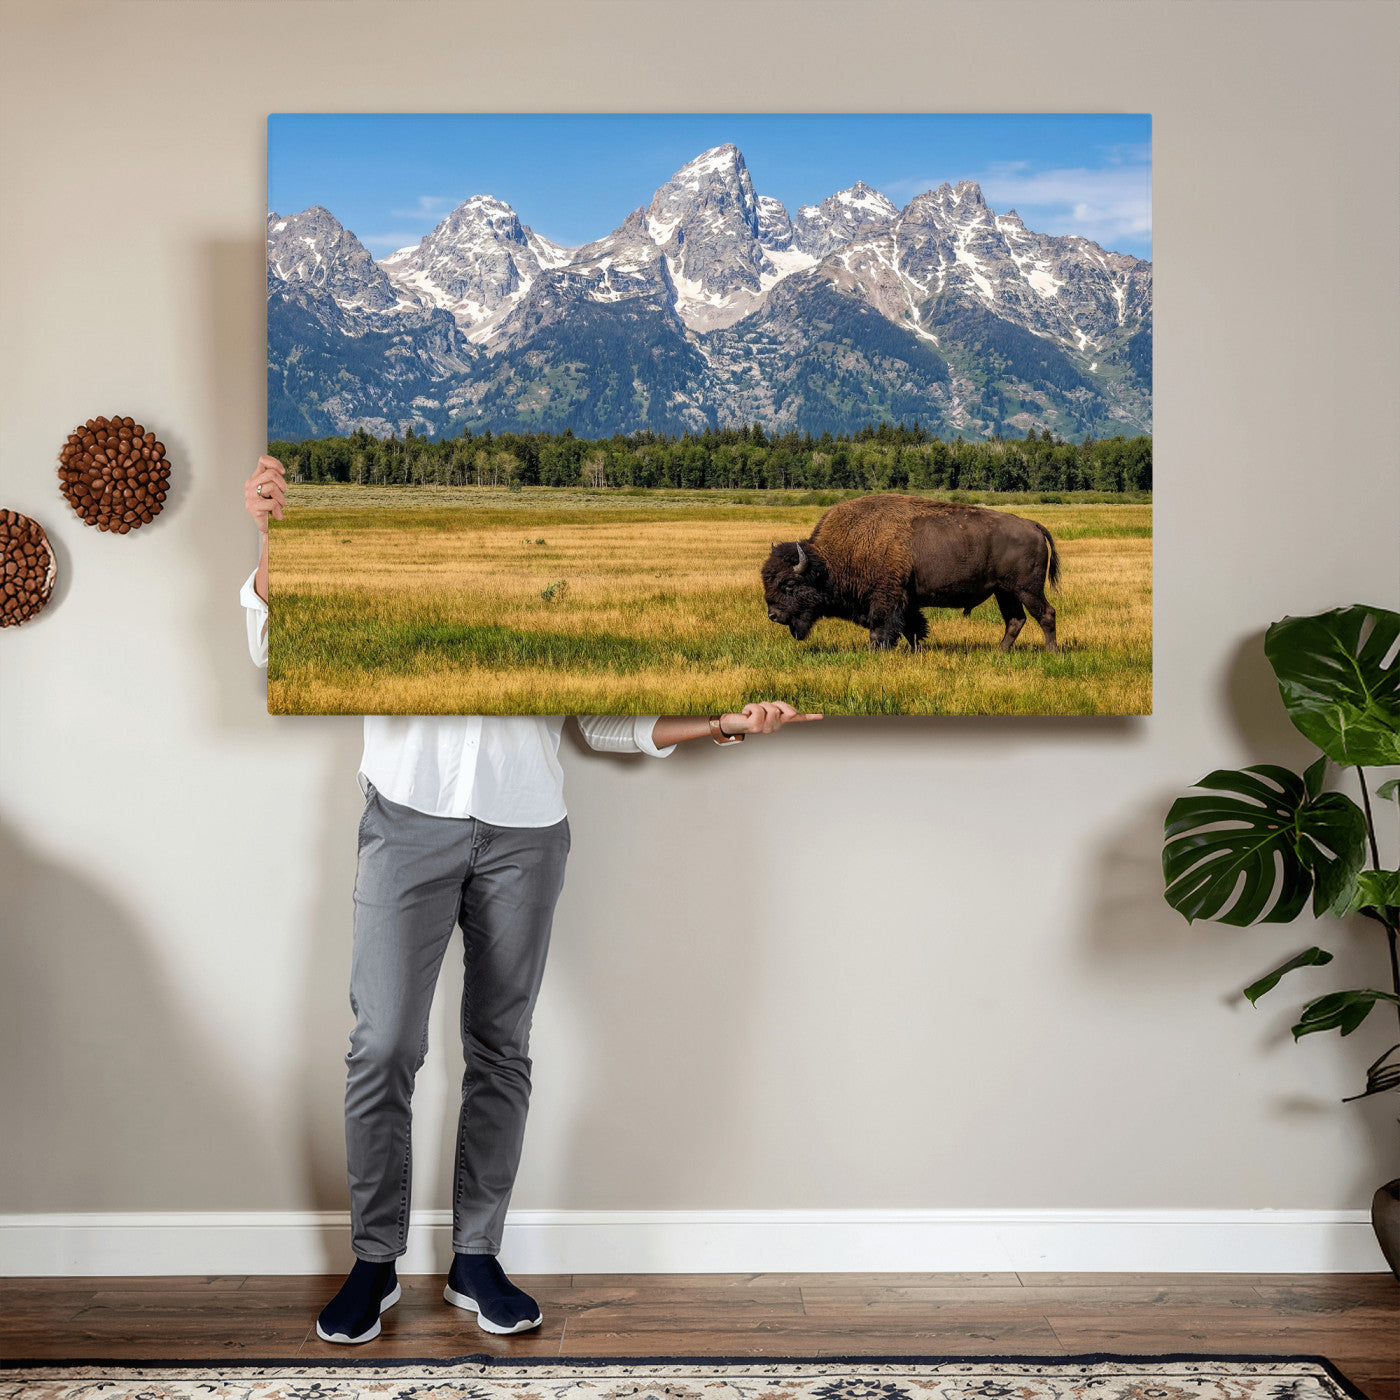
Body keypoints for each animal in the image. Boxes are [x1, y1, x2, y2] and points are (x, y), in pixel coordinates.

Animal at [761, 493, 1060, 652]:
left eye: (789, 585)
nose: (773, 615)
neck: (830, 561)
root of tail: (1032, 525)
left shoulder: (886, 597)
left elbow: (882, 628)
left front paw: (877, 651)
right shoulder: (907, 600)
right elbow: (912, 628)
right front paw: (916, 650)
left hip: (1027, 589)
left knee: (1045, 614)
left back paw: (1051, 652)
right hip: (1004, 592)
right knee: (1015, 620)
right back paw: (999, 652)